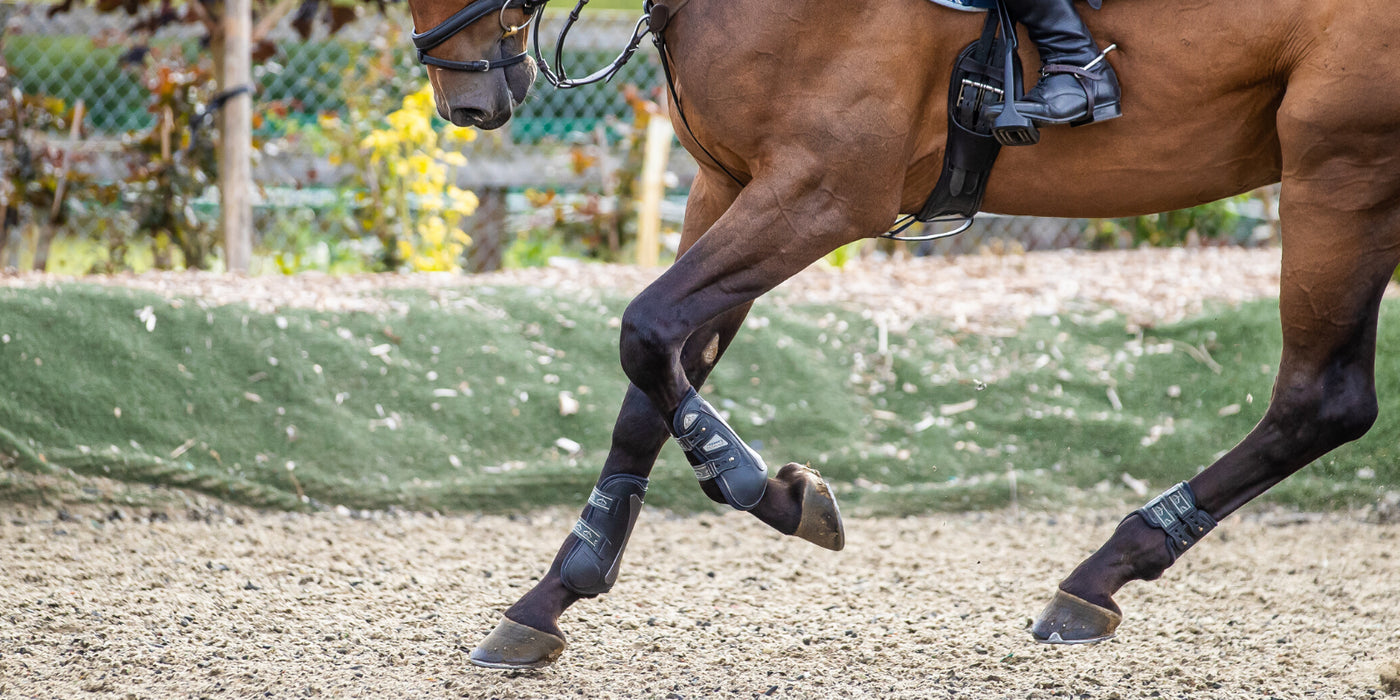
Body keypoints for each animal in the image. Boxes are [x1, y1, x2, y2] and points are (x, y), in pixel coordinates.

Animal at [405, 0, 1400, 669]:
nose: (468, 102)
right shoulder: (729, 184)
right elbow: (651, 379)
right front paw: (552, 596)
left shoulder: (821, 192)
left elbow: (646, 332)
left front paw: (764, 486)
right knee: (1327, 402)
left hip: (1340, 164)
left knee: (1323, 398)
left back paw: (1101, 574)